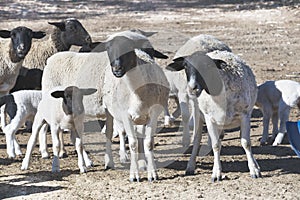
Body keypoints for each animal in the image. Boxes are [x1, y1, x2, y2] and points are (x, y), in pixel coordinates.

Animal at [41, 30, 170, 181]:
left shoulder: (148, 114)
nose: (117, 69)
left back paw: (85, 160)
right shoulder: (118, 111)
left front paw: (147, 167)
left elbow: (144, 141)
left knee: (74, 137)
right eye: (109, 49)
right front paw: (125, 168)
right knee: (47, 128)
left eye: (151, 51)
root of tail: (52, 58)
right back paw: (55, 153)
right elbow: (121, 137)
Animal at [165, 49, 262, 181]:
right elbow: (216, 145)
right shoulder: (209, 118)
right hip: (198, 113)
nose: (192, 88)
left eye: (207, 66)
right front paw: (216, 173)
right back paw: (190, 166)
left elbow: (246, 143)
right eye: (185, 66)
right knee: (197, 140)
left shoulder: (245, 115)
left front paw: (254, 170)